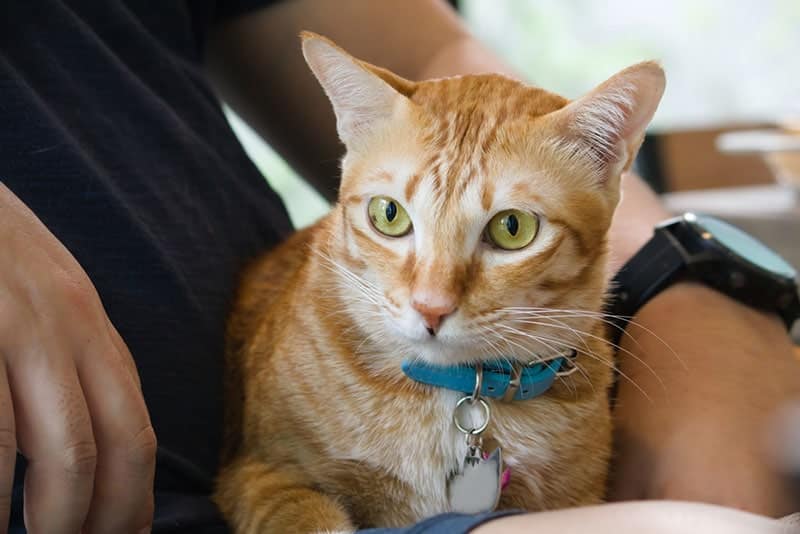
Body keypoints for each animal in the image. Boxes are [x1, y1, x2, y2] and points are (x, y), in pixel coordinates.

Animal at [216, 32, 664, 532]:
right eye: (388, 214)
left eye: (513, 228)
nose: (430, 307)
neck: (450, 394)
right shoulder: (259, 472)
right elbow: (314, 518)